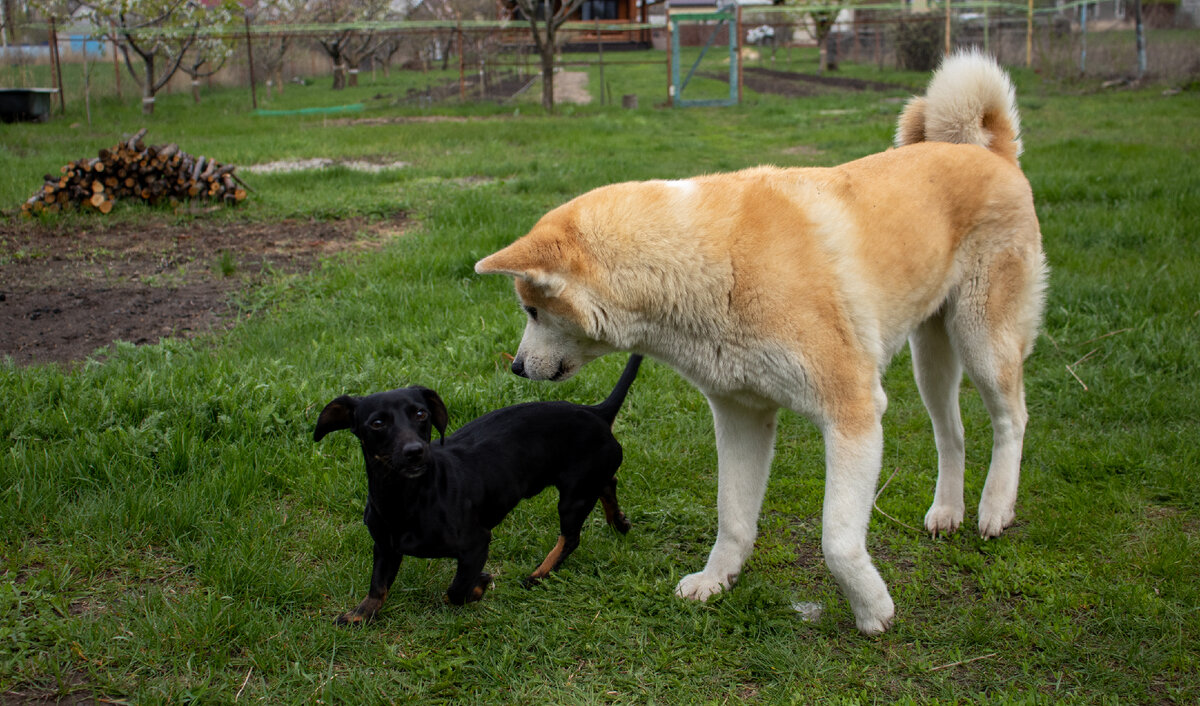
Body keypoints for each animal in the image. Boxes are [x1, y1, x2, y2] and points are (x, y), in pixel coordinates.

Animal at [314, 353, 643, 624]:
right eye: (377, 423)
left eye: (421, 415)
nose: (415, 452)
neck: (408, 498)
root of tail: (597, 412)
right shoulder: (384, 547)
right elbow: (378, 586)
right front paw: (360, 614)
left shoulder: (476, 543)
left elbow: (456, 591)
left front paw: (480, 585)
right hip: (586, 482)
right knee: (608, 483)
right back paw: (618, 521)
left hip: (573, 498)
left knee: (571, 538)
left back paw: (538, 574)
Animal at [472, 51, 1046, 633]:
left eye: (531, 310)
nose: (516, 367)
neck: (710, 261)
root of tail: (987, 149)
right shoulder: (740, 415)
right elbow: (733, 517)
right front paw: (716, 579)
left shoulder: (853, 412)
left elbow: (837, 542)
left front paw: (873, 611)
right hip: (931, 357)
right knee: (950, 432)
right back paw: (947, 511)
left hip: (982, 341)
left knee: (1011, 420)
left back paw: (995, 508)